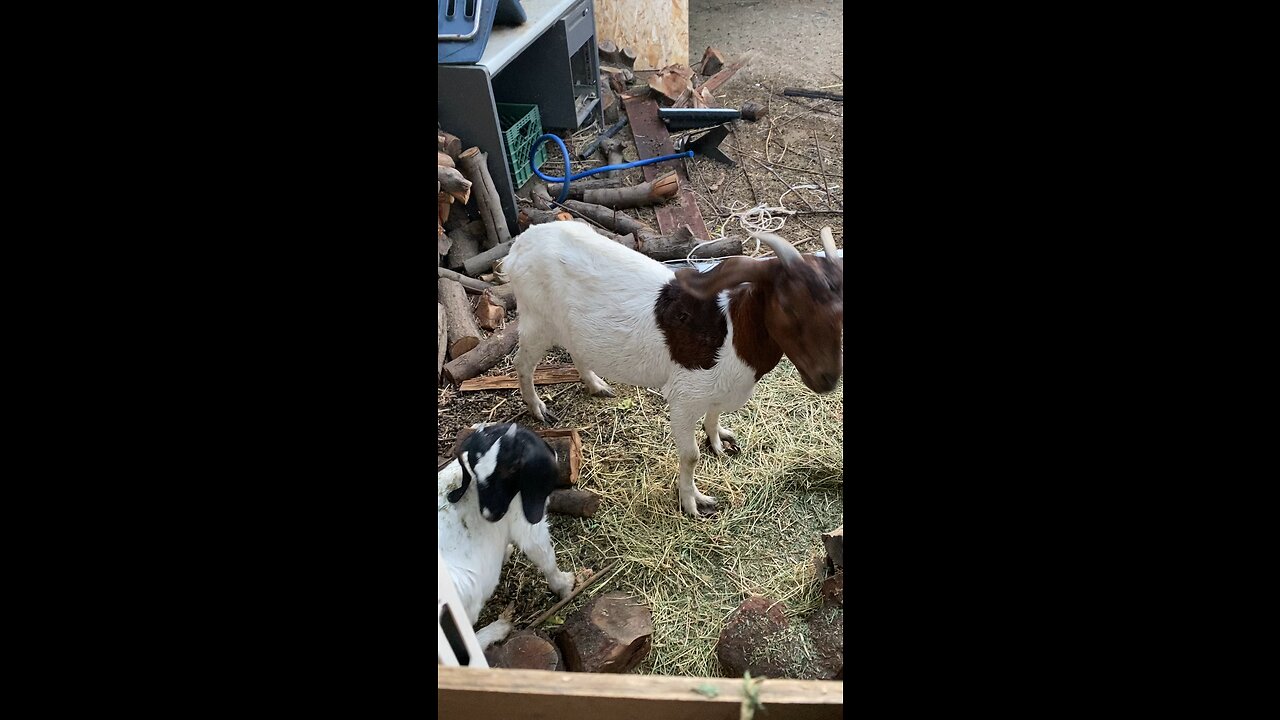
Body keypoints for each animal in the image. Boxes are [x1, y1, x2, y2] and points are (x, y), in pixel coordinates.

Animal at [504, 221, 844, 512]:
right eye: (788, 305)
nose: (827, 378)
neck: (732, 333)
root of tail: (520, 245)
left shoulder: (714, 391)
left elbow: (715, 415)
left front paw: (718, 441)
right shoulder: (684, 399)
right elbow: (690, 455)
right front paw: (693, 501)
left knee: (576, 349)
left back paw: (596, 384)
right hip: (536, 320)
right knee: (522, 363)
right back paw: (538, 407)